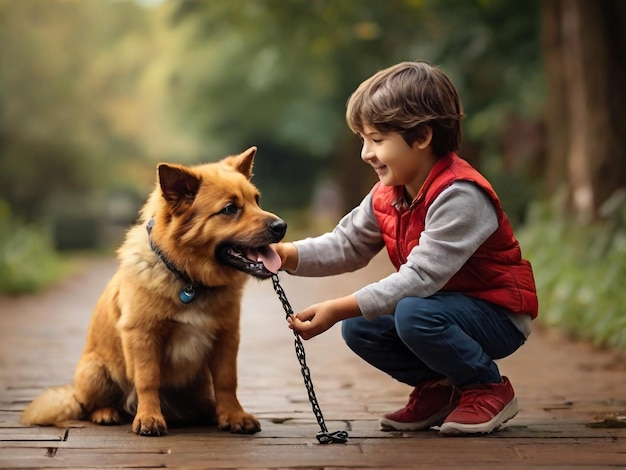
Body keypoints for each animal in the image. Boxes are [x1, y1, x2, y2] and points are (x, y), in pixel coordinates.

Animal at [20, 148, 286, 436]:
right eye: (229, 209)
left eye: (257, 201)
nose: (281, 226)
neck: (189, 279)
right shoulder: (143, 336)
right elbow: (148, 380)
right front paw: (149, 417)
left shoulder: (226, 336)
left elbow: (227, 380)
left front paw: (233, 415)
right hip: (96, 372)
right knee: (88, 405)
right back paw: (107, 413)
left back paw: (210, 412)